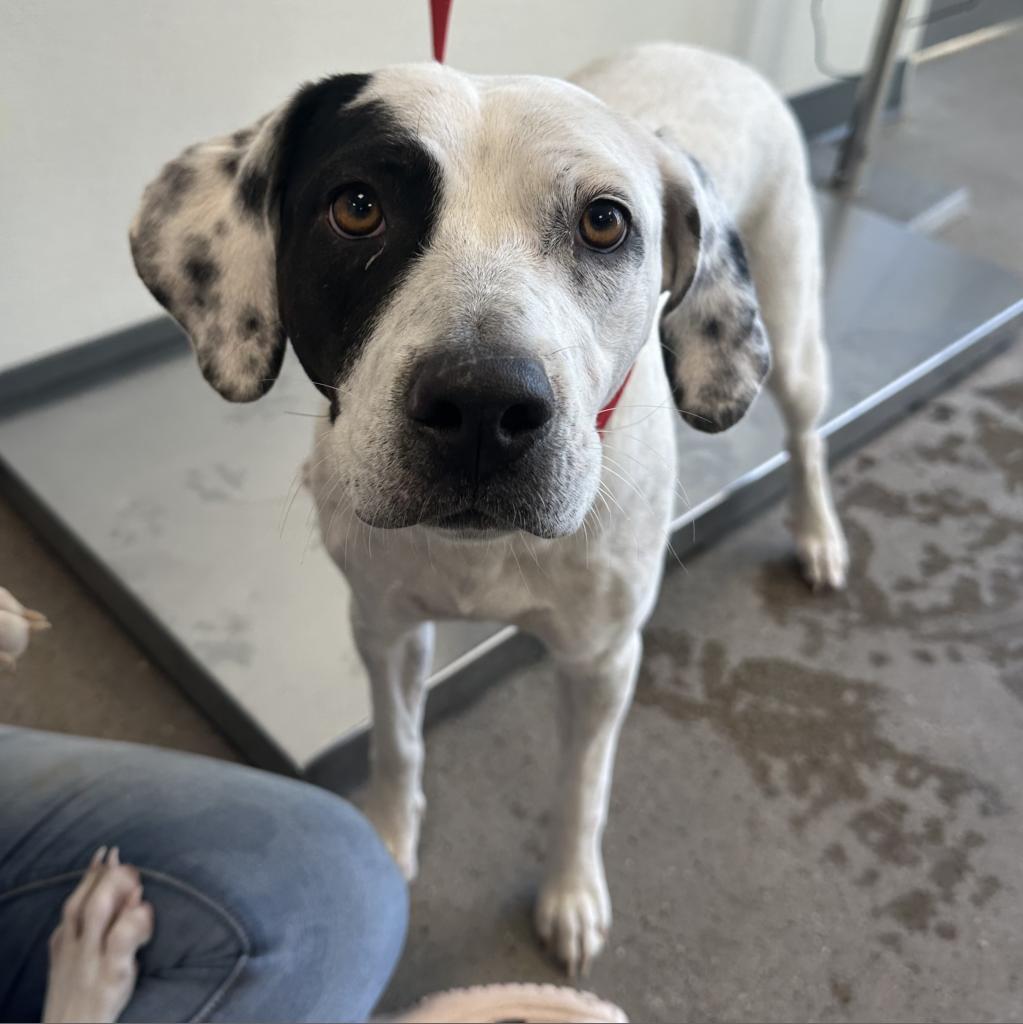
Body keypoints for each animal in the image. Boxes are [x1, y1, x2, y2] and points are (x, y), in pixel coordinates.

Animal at [130, 46, 847, 974]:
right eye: (356, 206)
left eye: (605, 222)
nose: (481, 406)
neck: (483, 555)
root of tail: (710, 55)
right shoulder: (385, 625)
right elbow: (397, 742)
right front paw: (390, 841)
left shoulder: (600, 660)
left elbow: (582, 786)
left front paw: (570, 896)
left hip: (787, 334)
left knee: (806, 434)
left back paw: (818, 534)